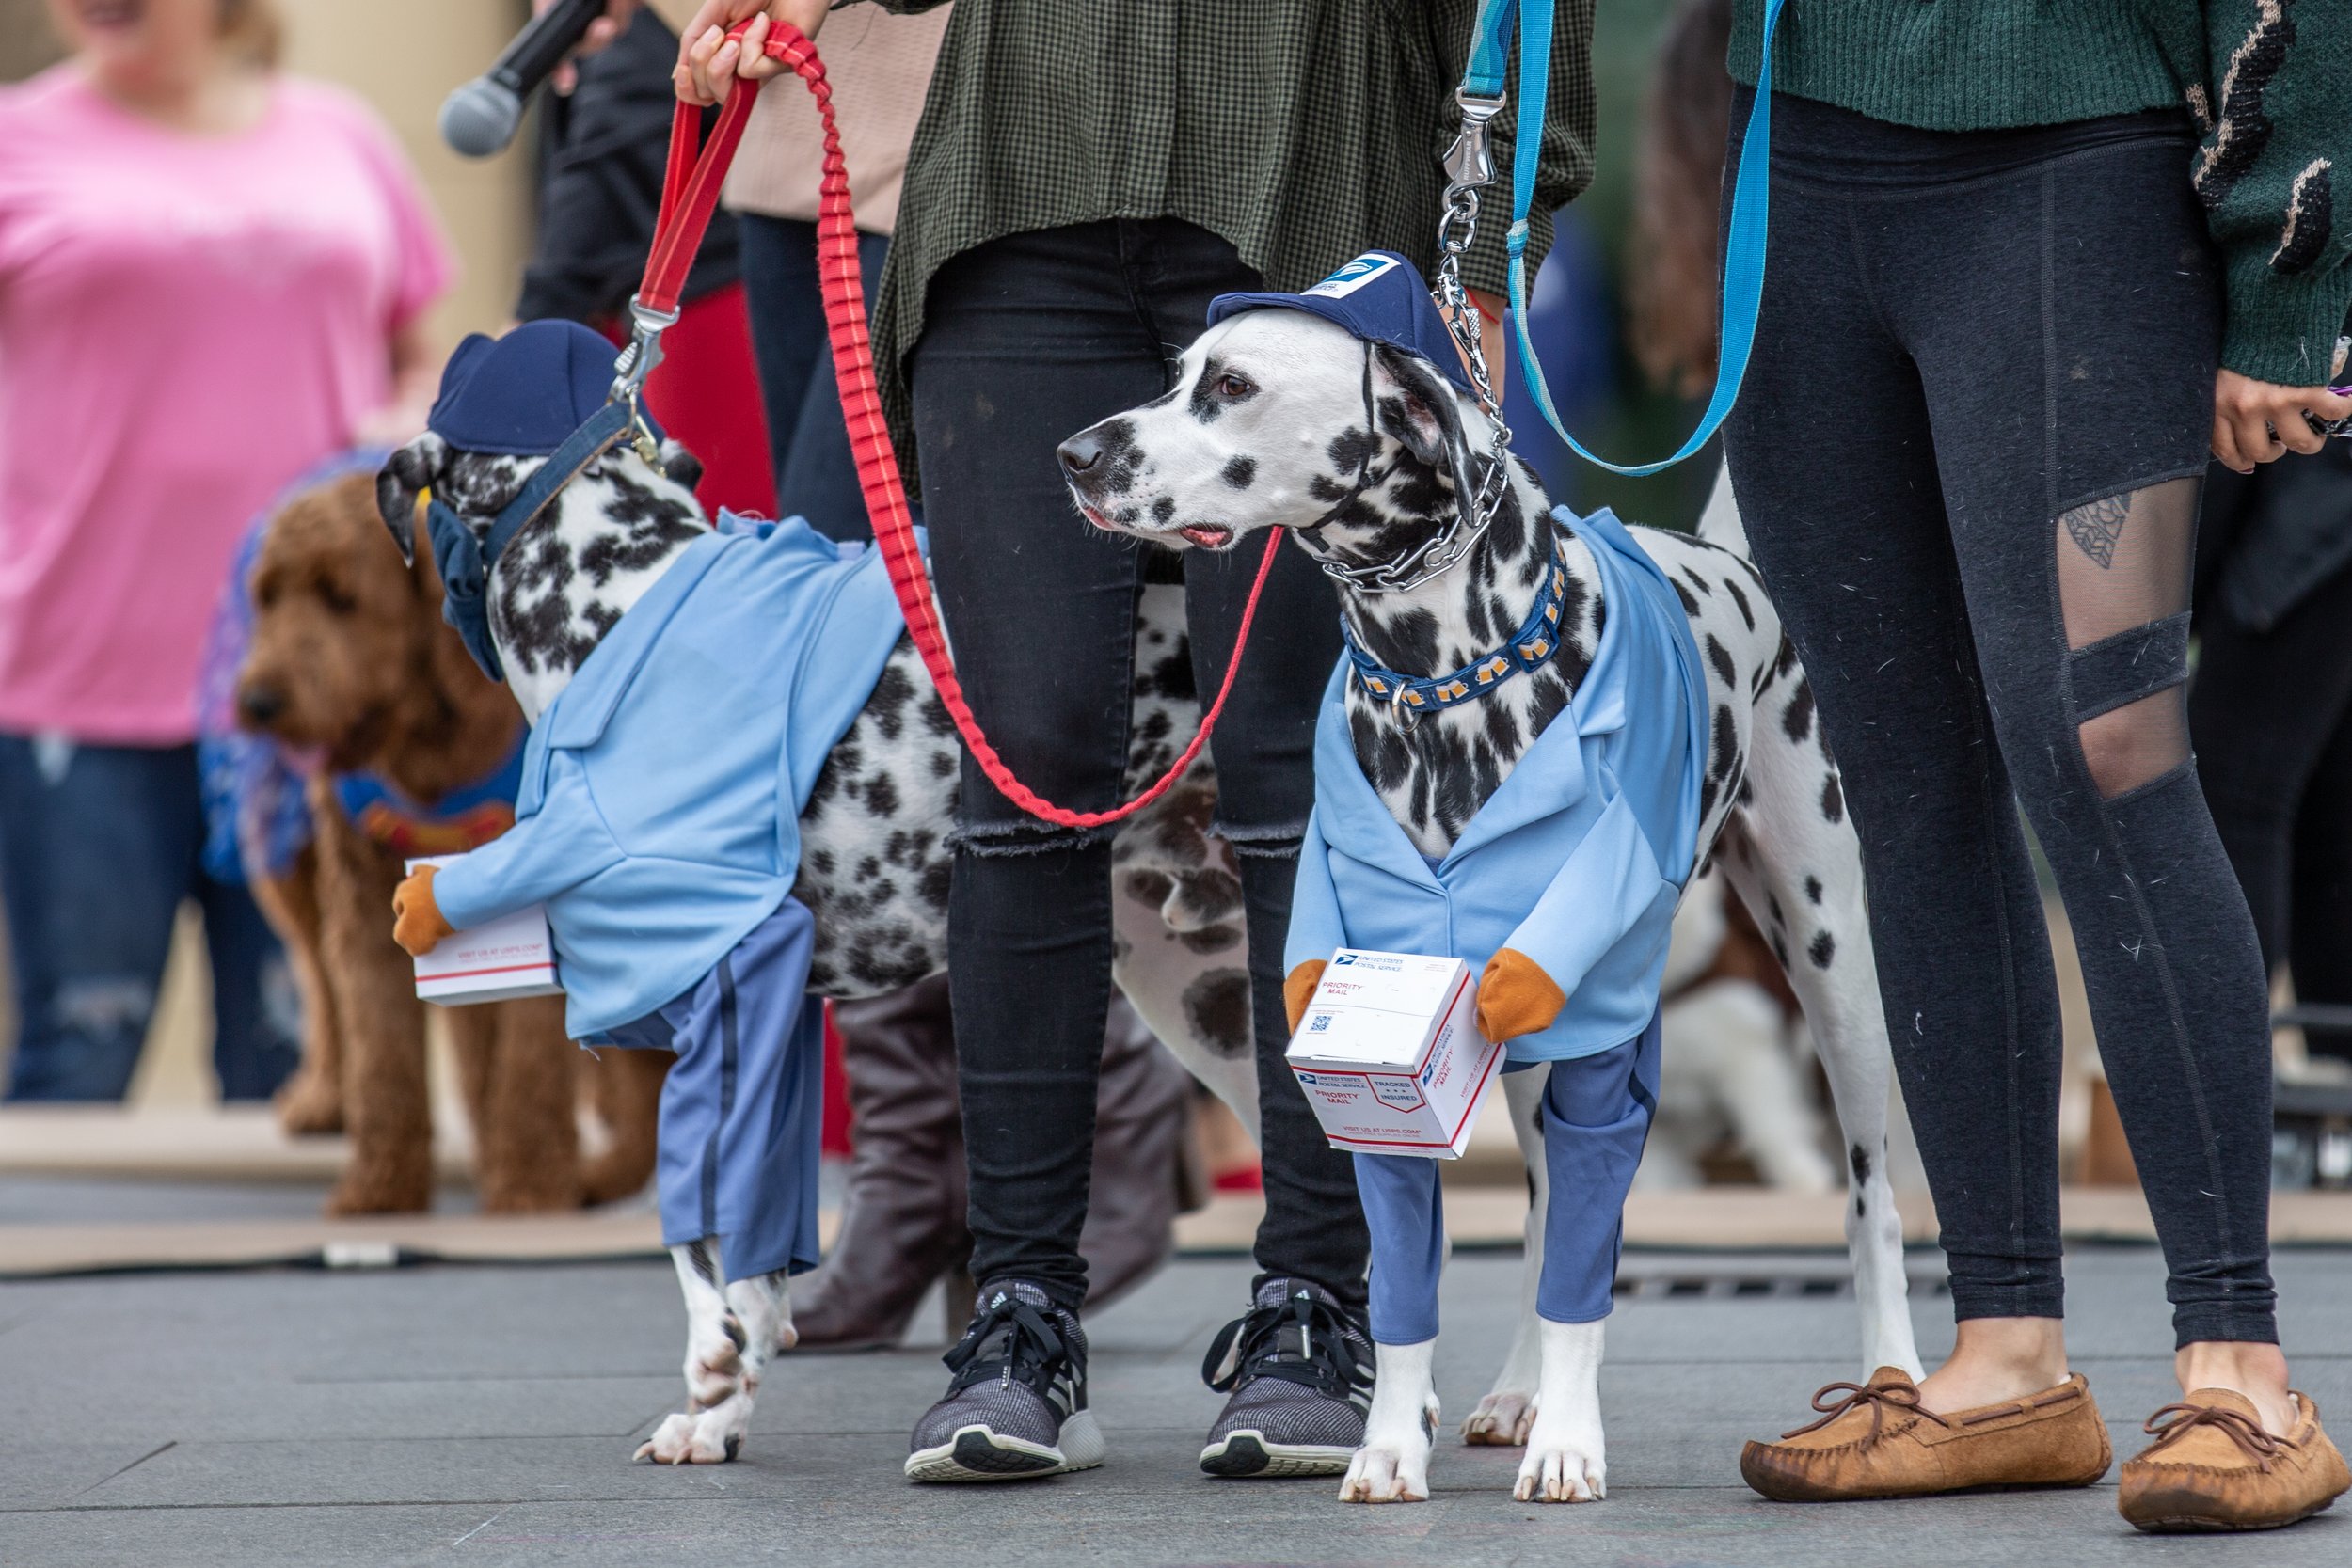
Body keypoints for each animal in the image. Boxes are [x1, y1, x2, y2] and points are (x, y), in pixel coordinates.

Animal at [233, 472, 663, 1222]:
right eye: (268, 597)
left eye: (343, 598)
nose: (260, 701)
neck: (430, 750)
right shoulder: (365, 904)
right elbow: (383, 1055)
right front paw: (379, 1191)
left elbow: (527, 1061)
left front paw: (527, 1188)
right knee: (320, 977)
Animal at [381, 435, 1270, 1466]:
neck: (622, 613)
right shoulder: (771, 1028)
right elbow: (758, 1259)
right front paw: (719, 1414)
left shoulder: (720, 1006)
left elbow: (697, 1230)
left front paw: (709, 1358)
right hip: (1219, 1009)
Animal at [1058, 257, 1919, 1504]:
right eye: (1177, 375)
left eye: (1232, 384)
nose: (1075, 453)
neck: (1446, 684)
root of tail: (1734, 564)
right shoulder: (1383, 1044)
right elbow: (1419, 1279)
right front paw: (1388, 1441)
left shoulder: (1607, 1043)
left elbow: (1586, 1270)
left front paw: (1570, 1439)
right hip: (1516, 1048)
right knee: (1549, 1206)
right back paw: (1514, 1391)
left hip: (1830, 973)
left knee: (1865, 1200)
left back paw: (1897, 1380)